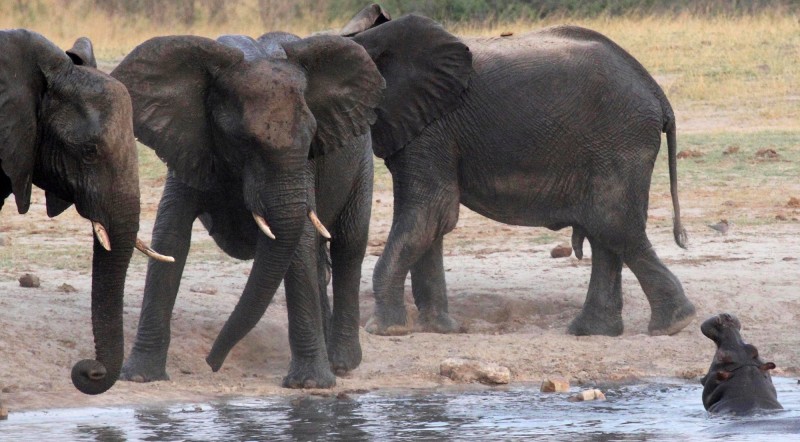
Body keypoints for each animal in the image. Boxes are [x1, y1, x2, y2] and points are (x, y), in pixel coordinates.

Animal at [112, 32, 384, 386]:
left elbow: (297, 244)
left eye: (312, 138)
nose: (211, 363)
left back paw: (341, 364)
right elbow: (171, 237)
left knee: (348, 246)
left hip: (362, 164)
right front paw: (139, 376)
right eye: (244, 140)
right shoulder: (191, 143)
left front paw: (309, 385)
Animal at [340, 8, 696, 336]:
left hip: (619, 139)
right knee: (605, 232)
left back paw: (673, 324)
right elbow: (432, 220)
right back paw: (594, 331)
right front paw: (440, 328)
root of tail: (657, 93)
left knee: (613, 224)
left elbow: (430, 212)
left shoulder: (432, 127)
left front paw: (385, 330)